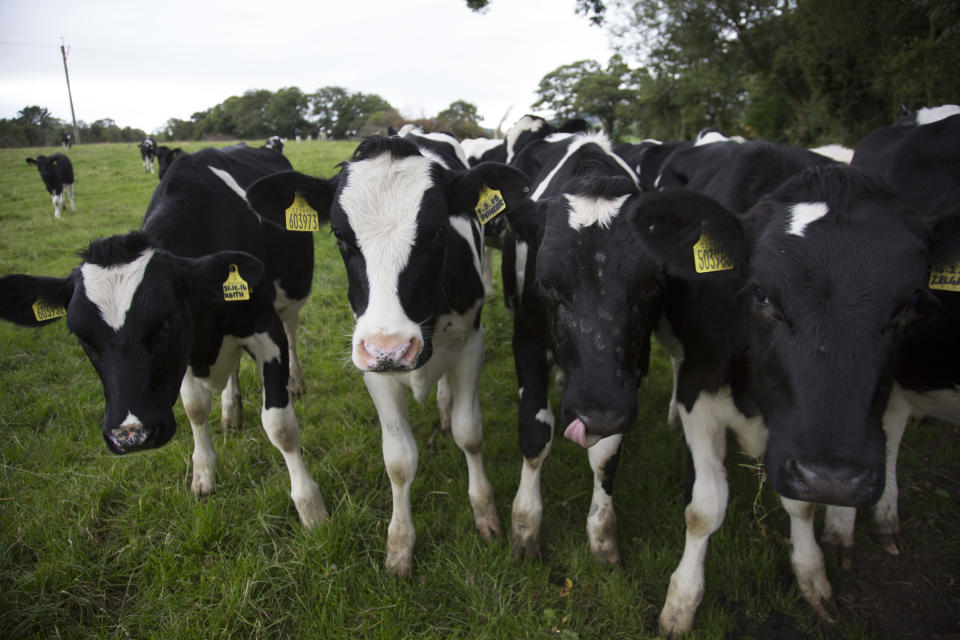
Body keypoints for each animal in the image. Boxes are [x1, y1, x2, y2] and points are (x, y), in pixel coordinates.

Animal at [0, 145, 326, 528]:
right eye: (83, 339)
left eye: (164, 324)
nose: (131, 436)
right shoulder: (182, 354)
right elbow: (195, 408)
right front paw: (203, 473)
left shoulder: (265, 331)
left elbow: (280, 425)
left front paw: (310, 507)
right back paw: (230, 410)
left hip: (290, 298)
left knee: (292, 332)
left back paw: (294, 382)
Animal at [248, 125, 528, 576]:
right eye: (341, 237)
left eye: (438, 232)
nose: (392, 348)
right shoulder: (373, 366)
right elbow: (398, 461)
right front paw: (399, 546)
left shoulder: (472, 342)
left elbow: (470, 434)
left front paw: (485, 512)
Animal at [628, 164, 960, 636]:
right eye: (760, 293)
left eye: (911, 303)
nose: (835, 478)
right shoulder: (699, 387)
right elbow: (705, 509)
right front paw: (682, 601)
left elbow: (801, 506)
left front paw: (812, 574)